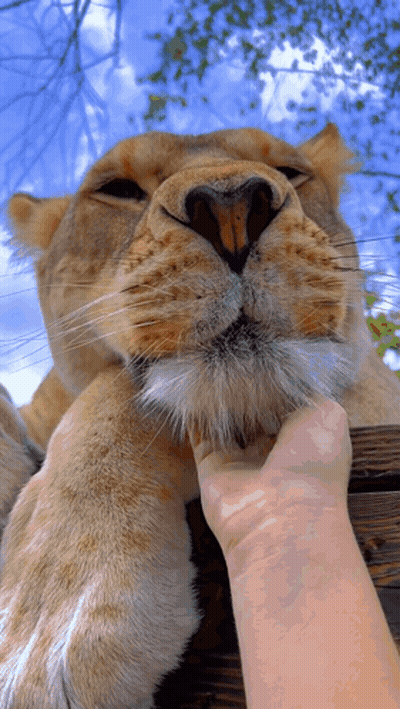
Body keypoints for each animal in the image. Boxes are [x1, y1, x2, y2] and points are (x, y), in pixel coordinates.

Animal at [0, 123, 399, 708]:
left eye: (292, 171)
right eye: (118, 189)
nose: (231, 206)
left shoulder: (373, 395)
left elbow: (117, 389)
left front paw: (46, 630)